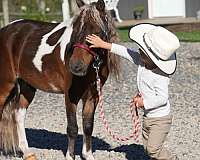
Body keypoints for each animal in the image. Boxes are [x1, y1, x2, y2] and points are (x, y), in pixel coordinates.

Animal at [0, 0, 120, 160]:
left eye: (97, 32)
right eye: (75, 30)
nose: (75, 66)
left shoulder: (92, 96)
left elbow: (88, 126)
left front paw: (87, 155)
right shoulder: (71, 95)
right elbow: (72, 127)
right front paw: (70, 156)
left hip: (27, 86)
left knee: (18, 114)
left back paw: (27, 152)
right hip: (6, 84)